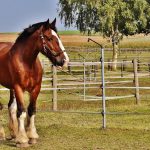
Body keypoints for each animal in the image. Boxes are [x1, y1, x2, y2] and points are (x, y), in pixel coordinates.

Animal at [0, 18, 69, 147]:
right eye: (49, 38)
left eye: (59, 37)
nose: (64, 60)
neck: (27, 63)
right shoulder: (18, 88)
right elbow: (21, 111)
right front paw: (22, 140)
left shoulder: (35, 88)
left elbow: (31, 110)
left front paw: (31, 136)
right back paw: (3, 134)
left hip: (11, 89)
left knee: (11, 107)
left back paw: (13, 134)